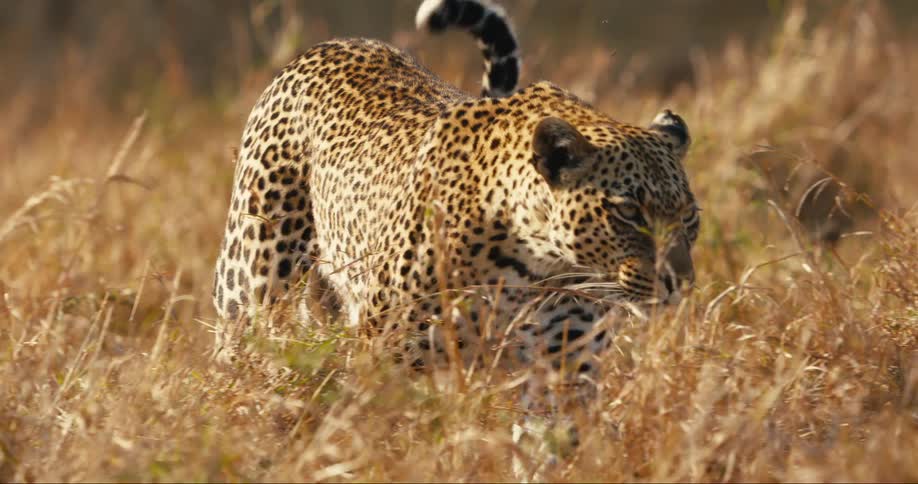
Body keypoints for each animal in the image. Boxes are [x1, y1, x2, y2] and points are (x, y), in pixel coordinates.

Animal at [213, 0, 699, 382]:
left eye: (690, 217)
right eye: (628, 212)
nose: (680, 282)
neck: (544, 268)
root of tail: (331, 44)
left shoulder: (566, 367)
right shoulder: (389, 351)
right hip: (252, 279)